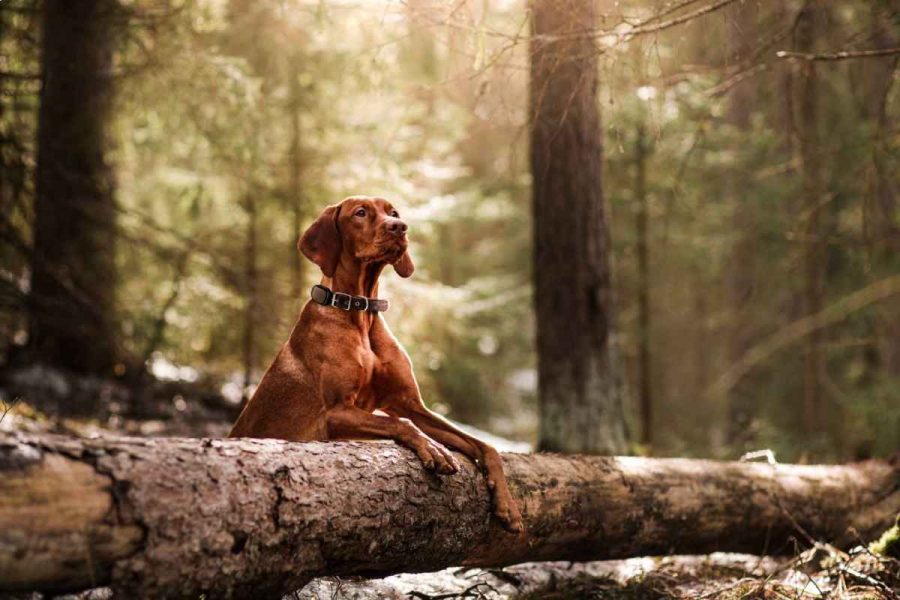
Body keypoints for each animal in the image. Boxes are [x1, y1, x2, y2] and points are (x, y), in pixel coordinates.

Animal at [229, 195, 524, 532]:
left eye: (392, 212)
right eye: (360, 213)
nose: (400, 226)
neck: (361, 312)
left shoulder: (411, 404)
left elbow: (483, 445)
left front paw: (508, 506)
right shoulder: (335, 413)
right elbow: (400, 423)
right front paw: (432, 448)